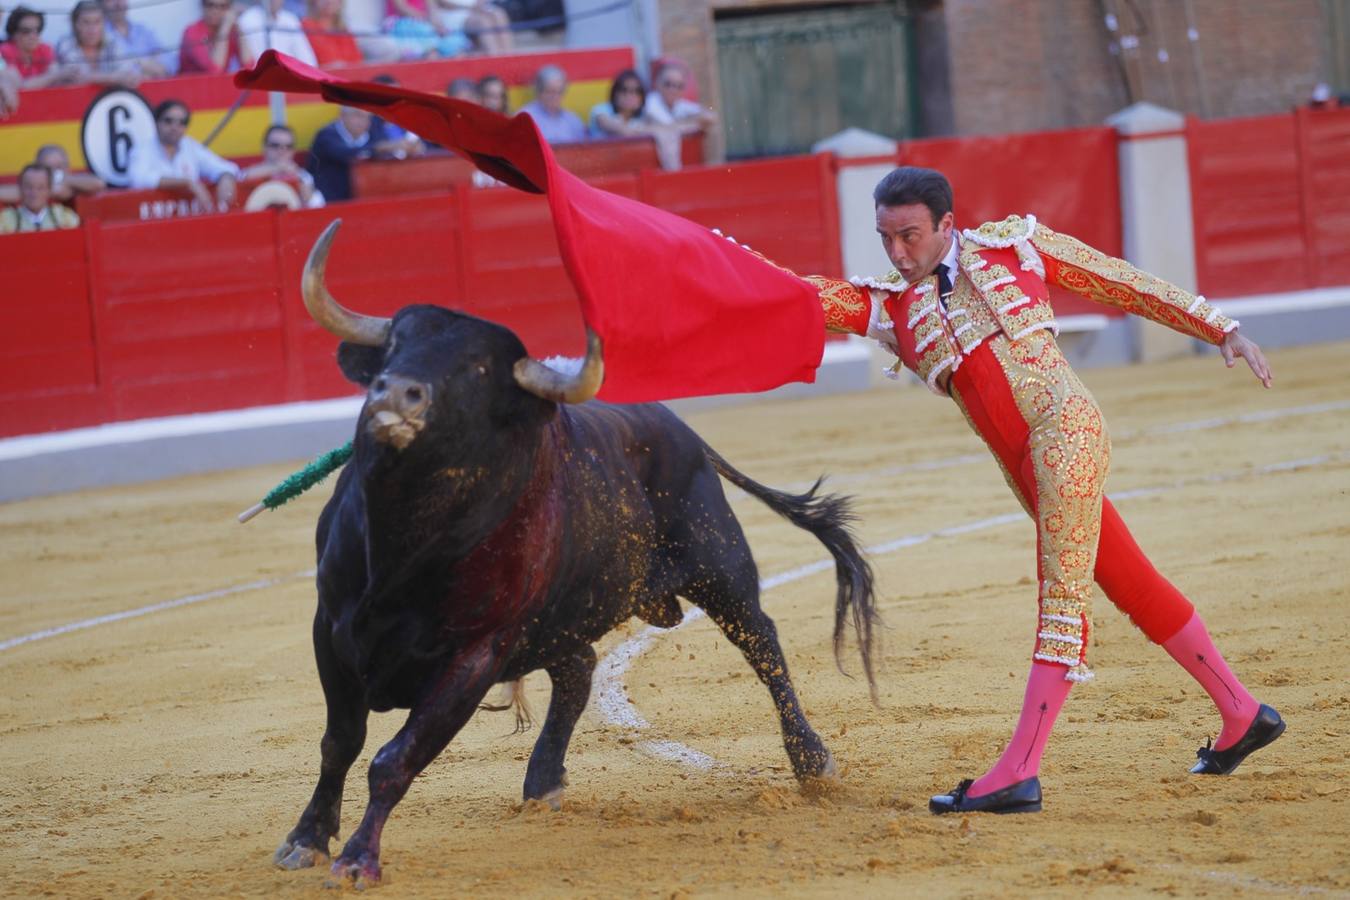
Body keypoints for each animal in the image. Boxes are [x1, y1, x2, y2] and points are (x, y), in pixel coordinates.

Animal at [278, 221, 880, 885]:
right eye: (392, 346)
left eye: (477, 368)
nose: (394, 393)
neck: (401, 547)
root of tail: (686, 433)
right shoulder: (329, 629)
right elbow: (339, 744)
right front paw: (306, 839)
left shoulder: (472, 656)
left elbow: (394, 757)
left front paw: (358, 859)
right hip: (564, 613)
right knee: (581, 668)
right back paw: (543, 782)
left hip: (719, 569)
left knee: (762, 643)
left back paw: (813, 761)